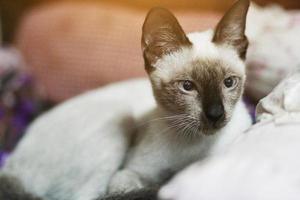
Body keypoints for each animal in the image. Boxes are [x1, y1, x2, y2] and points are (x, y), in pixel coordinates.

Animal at [0, 0, 252, 200]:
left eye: (229, 82)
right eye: (187, 87)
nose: (215, 114)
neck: (194, 146)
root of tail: (11, 167)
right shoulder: (129, 174)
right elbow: (131, 189)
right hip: (116, 122)